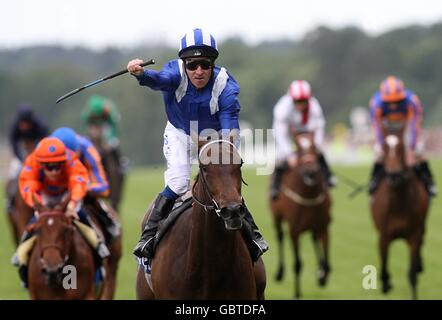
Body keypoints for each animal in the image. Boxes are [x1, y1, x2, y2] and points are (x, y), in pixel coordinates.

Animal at [270, 131, 332, 298]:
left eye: (314, 146)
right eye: (297, 146)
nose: (310, 171)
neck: (309, 197)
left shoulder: (323, 226)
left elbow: (327, 263)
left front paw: (322, 275)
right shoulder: (295, 230)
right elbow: (298, 264)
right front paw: (297, 293)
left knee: (314, 239)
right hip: (276, 218)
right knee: (279, 237)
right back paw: (279, 272)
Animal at [372, 125, 430, 300]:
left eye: (401, 148)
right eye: (384, 148)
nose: (394, 175)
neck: (398, 203)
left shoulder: (414, 235)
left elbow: (412, 275)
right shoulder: (384, 236)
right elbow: (384, 273)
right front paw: (387, 284)